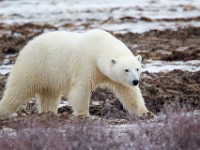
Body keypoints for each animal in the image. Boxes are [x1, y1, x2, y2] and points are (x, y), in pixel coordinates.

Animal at [0, 29, 152, 118]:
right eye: (126, 70)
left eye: (137, 69)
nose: (135, 81)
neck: (99, 46)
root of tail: (26, 46)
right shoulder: (86, 62)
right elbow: (81, 87)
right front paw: (84, 115)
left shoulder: (111, 75)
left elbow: (128, 92)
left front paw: (145, 112)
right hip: (34, 66)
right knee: (17, 90)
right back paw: (4, 111)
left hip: (49, 76)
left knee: (50, 95)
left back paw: (49, 113)